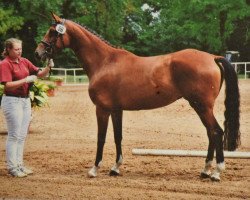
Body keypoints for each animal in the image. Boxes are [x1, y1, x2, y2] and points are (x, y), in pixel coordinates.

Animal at [34, 12, 239, 181]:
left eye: (52, 32)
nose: (38, 53)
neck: (105, 62)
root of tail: (212, 57)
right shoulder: (117, 110)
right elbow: (118, 137)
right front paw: (115, 168)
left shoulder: (102, 109)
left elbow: (101, 138)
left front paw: (94, 169)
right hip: (200, 106)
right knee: (211, 133)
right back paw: (205, 171)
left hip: (202, 106)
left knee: (216, 132)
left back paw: (216, 172)